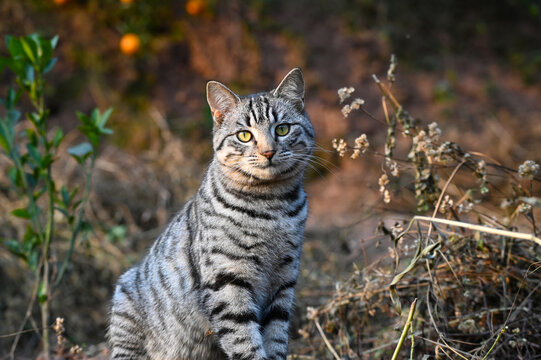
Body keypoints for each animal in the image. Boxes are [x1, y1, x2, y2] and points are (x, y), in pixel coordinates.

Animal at [108, 68, 314, 360]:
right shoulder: (227, 281)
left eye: (282, 129)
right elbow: (245, 343)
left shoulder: (284, 281)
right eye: (244, 135)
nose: (268, 152)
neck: (271, 205)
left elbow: (275, 339)